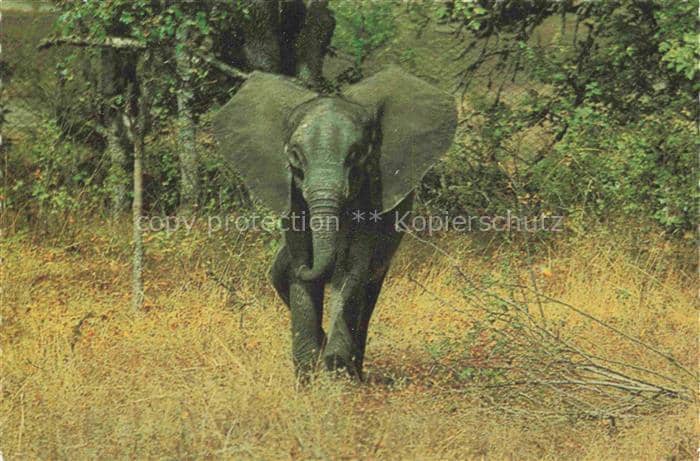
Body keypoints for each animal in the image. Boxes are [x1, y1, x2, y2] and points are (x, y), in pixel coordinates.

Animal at [213, 66, 456, 379]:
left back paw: (355, 372)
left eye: (357, 155)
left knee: (369, 289)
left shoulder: (368, 198)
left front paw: (336, 373)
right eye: (294, 157)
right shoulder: (293, 200)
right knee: (279, 276)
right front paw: (308, 377)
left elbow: (350, 270)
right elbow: (300, 275)